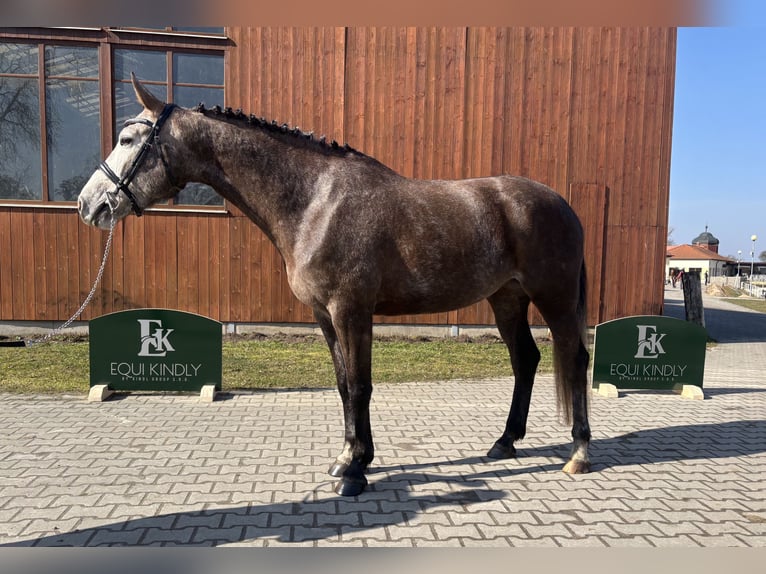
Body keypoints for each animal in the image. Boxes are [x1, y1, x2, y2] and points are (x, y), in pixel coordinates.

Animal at [78, 74, 592, 496]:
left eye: (128, 138)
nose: (89, 205)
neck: (315, 202)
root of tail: (560, 202)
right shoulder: (323, 315)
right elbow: (344, 385)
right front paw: (347, 458)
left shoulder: (351, 311)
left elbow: (361, 386)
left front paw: (356, 473)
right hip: (507, 299)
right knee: (525, 360)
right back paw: (504, 443)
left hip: (555, 298)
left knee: (575, 358)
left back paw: (578, 452)